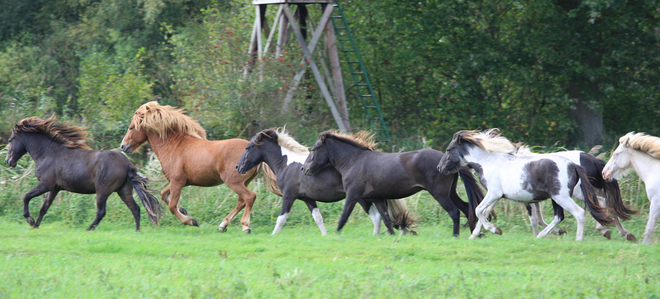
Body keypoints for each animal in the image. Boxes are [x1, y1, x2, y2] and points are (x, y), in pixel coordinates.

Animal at [4, 116, 162, 231]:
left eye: (11, 140)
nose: (7, 161)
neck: (47, 153)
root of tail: (127, 163)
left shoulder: (45, 184)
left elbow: (26, 196)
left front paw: (29, 220)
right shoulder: (54, 188)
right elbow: (44, 208)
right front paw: (36, 226)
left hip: (103, 190)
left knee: (101, 212)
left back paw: (88, 229)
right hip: (123, 191)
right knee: (135, 209)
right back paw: (137, 231)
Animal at [120, 102, 276, 233]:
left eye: (132, 127)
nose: (123, 146)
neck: (174, 147)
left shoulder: (177, 182)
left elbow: (172, 206)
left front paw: (191, 221)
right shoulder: (177, 182)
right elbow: (164, 195)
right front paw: (183, 210)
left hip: (233, 182)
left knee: (249, 197)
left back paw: (245, 226)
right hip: (243, 182)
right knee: (241, 201)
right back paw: (223, 225)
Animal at [236, 127, 412, 236]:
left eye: (248, 147)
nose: (238, 167)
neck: (286, 164)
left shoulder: (289, 196)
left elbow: (281, 218)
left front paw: (273, 235)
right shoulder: (308, 199)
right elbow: (318, 218)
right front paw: (326, 235)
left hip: (360, 197)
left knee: (376, 216)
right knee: (379, 215)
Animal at [300, 131, 484, 237]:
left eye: (314, 149)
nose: (304, 168)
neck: (353, 161)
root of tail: (444, 163)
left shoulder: (352, 196)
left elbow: (344, 217)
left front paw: (335, 235)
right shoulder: (377, 198)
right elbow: (386, 218)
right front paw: (392, 235)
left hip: (440, 194)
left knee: (454, 212)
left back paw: (456, 236)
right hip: (450, 192)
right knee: (466, 207)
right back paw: (476, 233)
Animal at [438, 129, 612, 241]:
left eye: (449, 149)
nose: (440, 168)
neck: (489, 162)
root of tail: (574, 165)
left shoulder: (493, 193)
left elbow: (478, 210)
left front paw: (494, 230)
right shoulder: (498, 196)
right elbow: (485, 212)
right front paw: (475, 235)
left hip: (562, 197)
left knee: (579, 213)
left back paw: (578, 239)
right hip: (559, 197)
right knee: (561, 215)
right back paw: (543, 235)